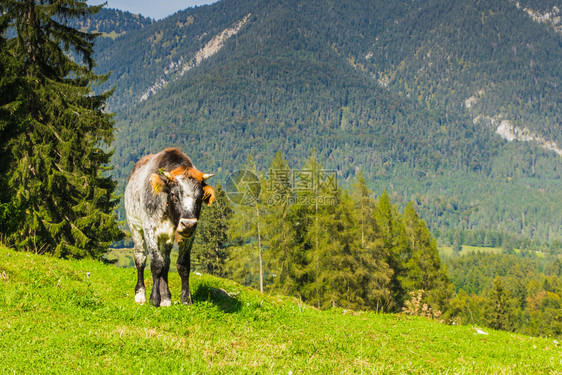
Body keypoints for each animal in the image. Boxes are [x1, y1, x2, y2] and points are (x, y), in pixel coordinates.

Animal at [124, 148, 214, 306]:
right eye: (173, 194)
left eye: (200, 197)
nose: (188, 224)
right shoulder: (149, 229)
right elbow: (156, 264)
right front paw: (154, 299)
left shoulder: (189, 235)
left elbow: (182, 265)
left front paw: (186, 298)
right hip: (134, 226)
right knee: (140, 257)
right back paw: (140, 294)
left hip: (166, 238)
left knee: (165, 261)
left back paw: (166, 298)